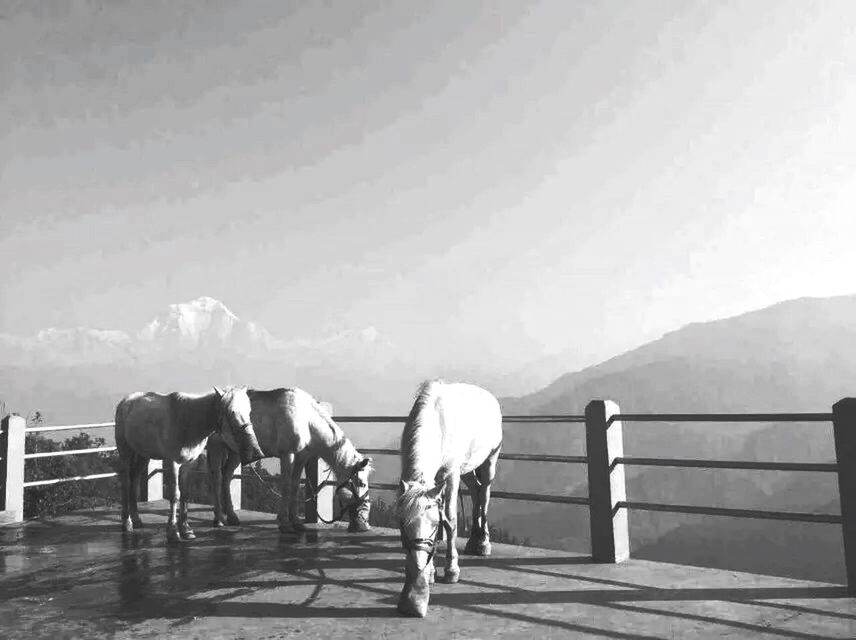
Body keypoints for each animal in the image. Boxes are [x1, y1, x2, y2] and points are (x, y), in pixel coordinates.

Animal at [113, 388, 262, 544]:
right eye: (231, 413)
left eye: (249, 411)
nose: (256, 452)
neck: (188, 422)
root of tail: (125, 401)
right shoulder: (172, 462)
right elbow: (175, 495)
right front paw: (173, 532)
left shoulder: (189, 464)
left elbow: (185, 494)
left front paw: (186, 529)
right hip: (125, 451)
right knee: (126, 481)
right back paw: (127, 523)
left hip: (143, 454)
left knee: (134, 480)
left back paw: (136, 520)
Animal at [206, 390, 372, 536]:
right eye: (362, 483)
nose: (364, 525)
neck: (307, 420)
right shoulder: (287, 454)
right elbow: (286, 486)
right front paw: (285, 524)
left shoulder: (301, 457)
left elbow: (294, 486)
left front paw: (296, 522)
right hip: (216, 446)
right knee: (217, 478)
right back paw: (218, 519)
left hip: (235, 452)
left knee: (227, 477)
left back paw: (232, 516)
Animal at [394, 378, 502, 616]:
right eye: (402, 525)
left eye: (435, 526)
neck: (437, 424)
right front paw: (430, 572)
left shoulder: (450, 474)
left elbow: (450, 519)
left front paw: (451, 570)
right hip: (467, 468)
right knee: (476, 490)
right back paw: (473, 540)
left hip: (490, 459)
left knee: (485, 492)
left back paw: (483, 542)